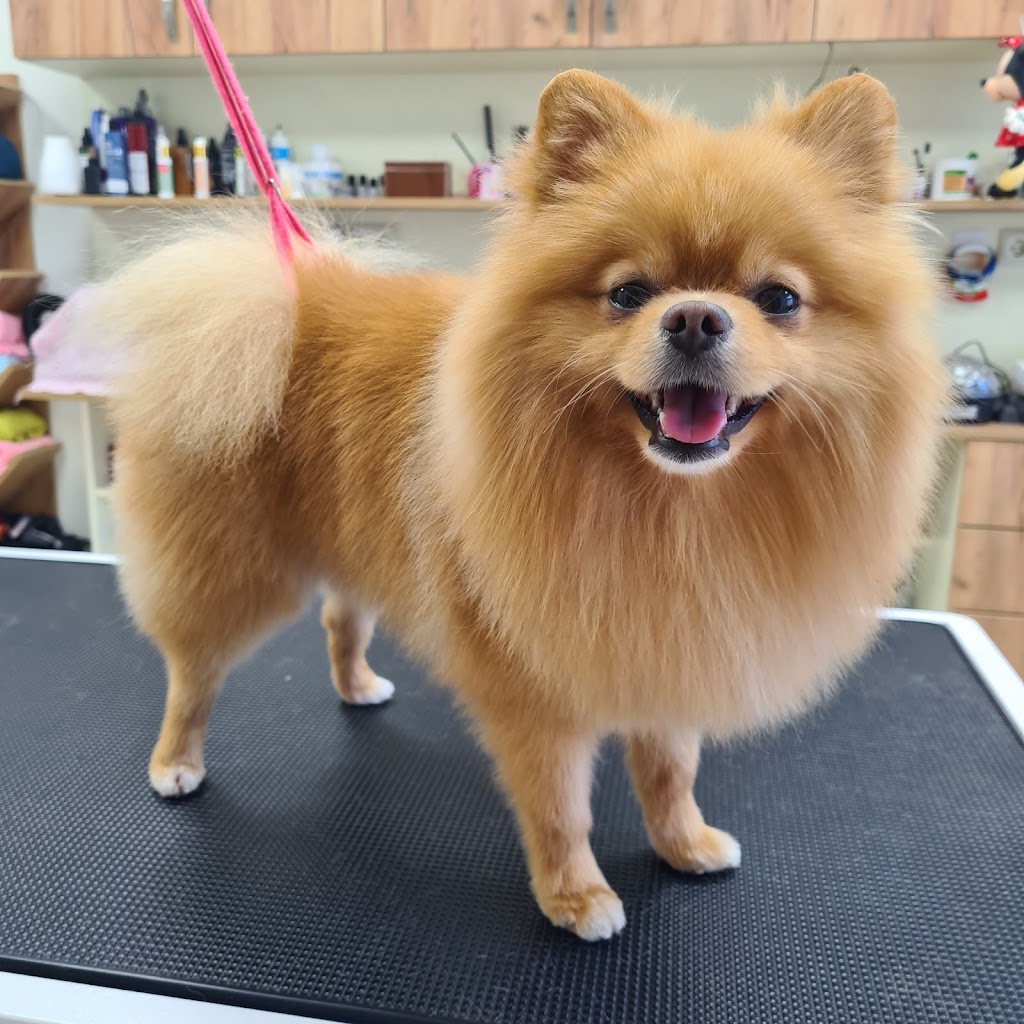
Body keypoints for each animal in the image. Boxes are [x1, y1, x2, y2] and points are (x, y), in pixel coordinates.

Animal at [79, 70, 945, 940]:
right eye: (628, 293)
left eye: (779, 298)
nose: (695, 317)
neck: (667, 506)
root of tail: (278, 303)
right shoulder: (533, 689)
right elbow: (560, 808)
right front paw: (575, 896)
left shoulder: (667, 643)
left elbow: (671, 771)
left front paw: (685, 843)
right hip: (232, 569)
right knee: (193, 671)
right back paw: (176, 760)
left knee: (338, 618)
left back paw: (358, 685)